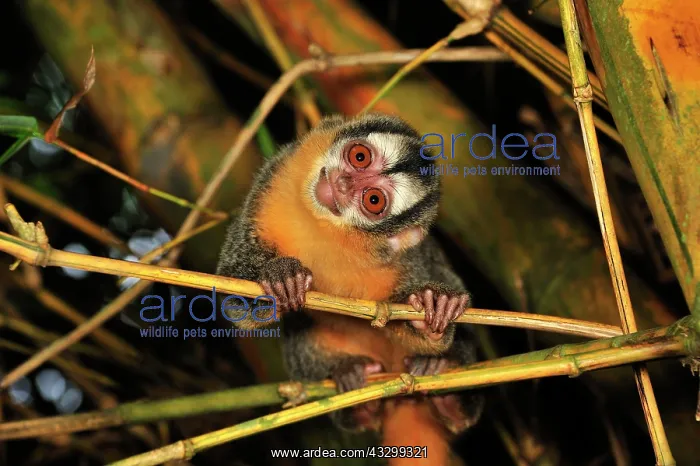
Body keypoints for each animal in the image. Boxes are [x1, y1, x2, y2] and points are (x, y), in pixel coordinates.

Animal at [217, 113, 484, 465]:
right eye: (360, 157)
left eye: (373, 200)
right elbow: (234, 299)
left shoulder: (405, 260)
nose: (343, 183)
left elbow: (428, 284)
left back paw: (445, 385)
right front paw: (278, 278)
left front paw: (431, 312)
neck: (325, 225)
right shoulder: (271, 180)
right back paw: (352, 384)